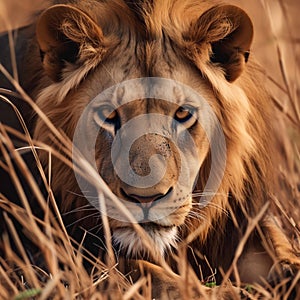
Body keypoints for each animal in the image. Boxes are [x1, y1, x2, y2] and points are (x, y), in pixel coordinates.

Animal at [0, 0, 298, 298]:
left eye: (182, 113)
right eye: (109, 115)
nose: (146, 198)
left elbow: (278, 247)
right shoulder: (46, 251)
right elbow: (143, 270)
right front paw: (226, 292)